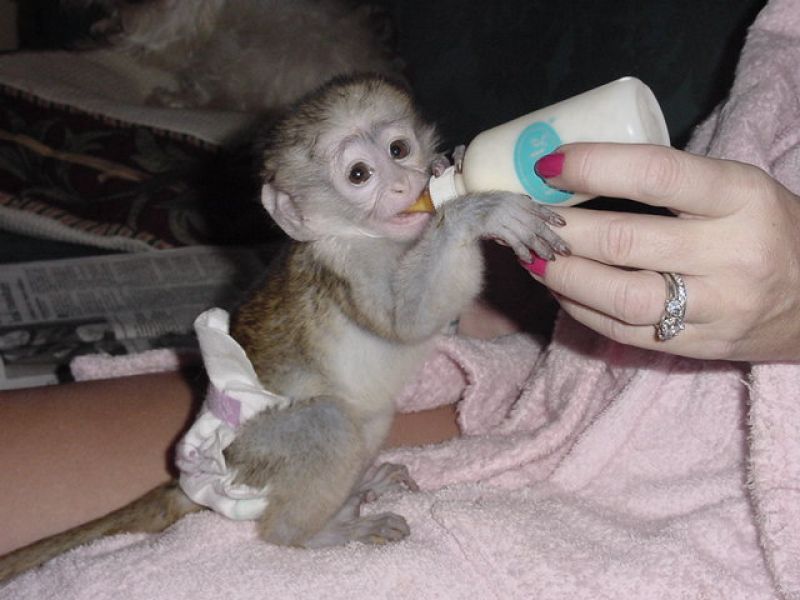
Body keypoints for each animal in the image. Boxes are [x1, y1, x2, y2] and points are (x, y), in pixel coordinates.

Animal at [0, 73, 569, 582]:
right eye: (360, 175)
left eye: (399, 148)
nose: (407, 183)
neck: (376, 237)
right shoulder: (345, 261)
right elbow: (404, 321)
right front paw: (474, 213)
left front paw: (456, 172)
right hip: (254, 453)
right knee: (328, 422)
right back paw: (308, 533)